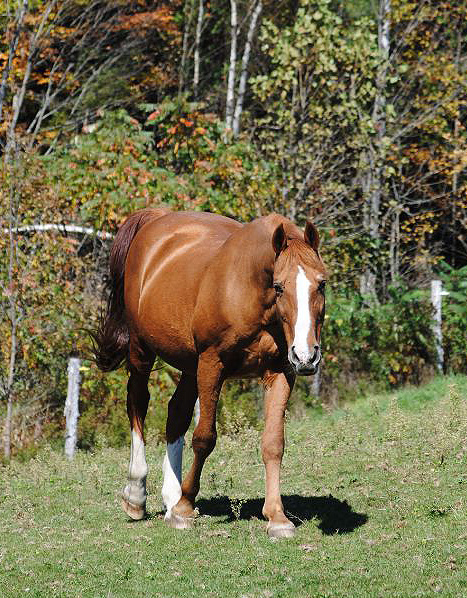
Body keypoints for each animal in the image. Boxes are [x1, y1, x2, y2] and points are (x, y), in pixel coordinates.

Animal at [94, 210, 330, 540]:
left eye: (321, 284)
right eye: (279, 286)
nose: (307, 355)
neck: (250, 291)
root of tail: (158, 217)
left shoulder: (281, 372)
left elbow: (273, 444)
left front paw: (277, 518)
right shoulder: (211, 364)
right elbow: (204, 438)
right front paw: (184, 509)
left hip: (189, 365)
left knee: (176, 413)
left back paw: (172, 496)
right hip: (142, 350)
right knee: (137, 402)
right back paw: (137, 495)